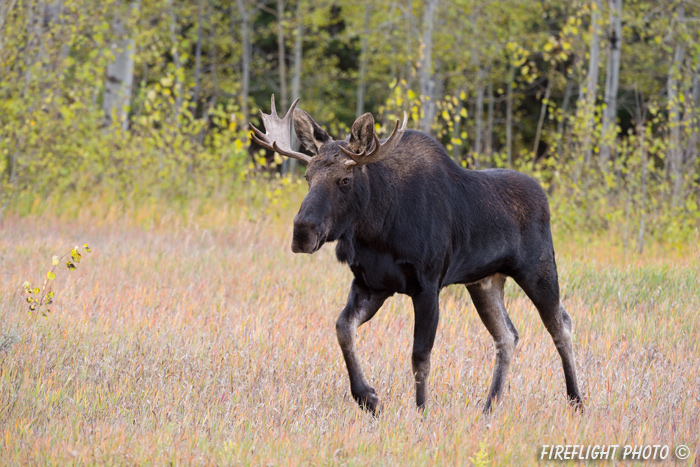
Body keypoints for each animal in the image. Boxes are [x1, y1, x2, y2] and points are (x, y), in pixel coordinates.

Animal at [249, 95, 584, 414]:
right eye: (307, 176)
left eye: (344, 180)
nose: (302, 232)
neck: (377, 229)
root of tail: (544, 197)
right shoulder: (372, 284)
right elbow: (343, 329)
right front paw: (368, 398)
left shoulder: (427, 286)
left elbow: (420, 356)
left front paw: (421, 412)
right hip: (484, 281)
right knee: (507, 335)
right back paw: (489, 407)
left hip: (539, 269)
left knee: (561, 326)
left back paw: (576, 401)